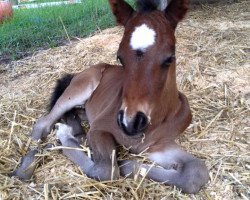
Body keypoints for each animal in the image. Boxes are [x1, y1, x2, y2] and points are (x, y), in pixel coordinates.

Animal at [13, 0, 209, 194]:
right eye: (120, 57)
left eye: (169, 58)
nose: (130, 123)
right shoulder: (99, 129)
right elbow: (106, 170)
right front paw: (64, 136)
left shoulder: (159, 145)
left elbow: (196, 172)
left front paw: (126, 163)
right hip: (79, 89)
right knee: (43, 123)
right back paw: (27, 165)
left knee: (76, 115)